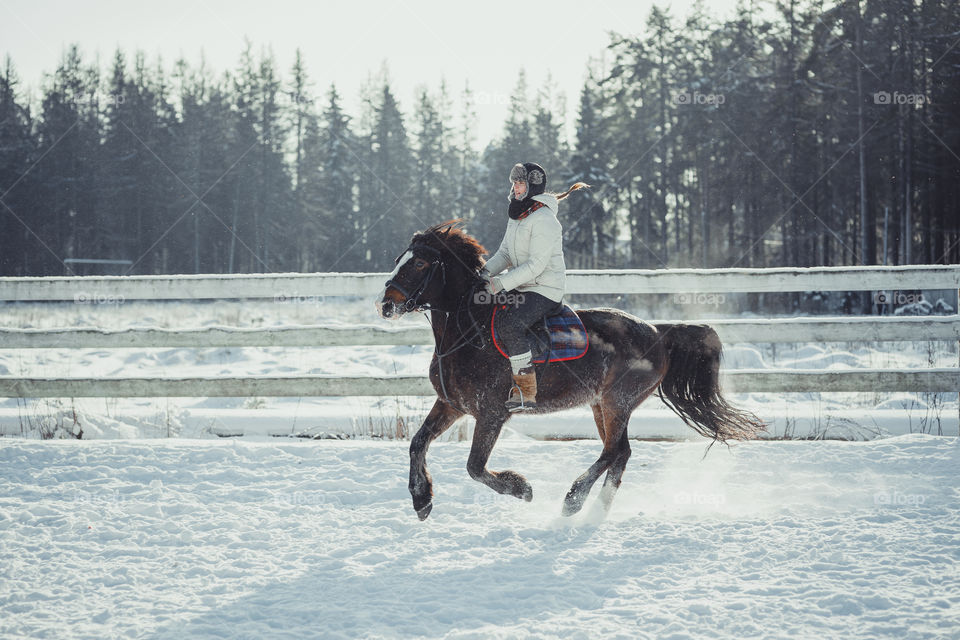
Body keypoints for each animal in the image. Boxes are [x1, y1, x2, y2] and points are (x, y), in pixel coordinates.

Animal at [376, 220, 764, 520]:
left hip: (618, 401)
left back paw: (573, 501)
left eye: (420, 263)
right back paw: (595, 511)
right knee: (621, 453)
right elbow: (417, 443)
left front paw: (522, 488)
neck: (470, 331)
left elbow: (474, 466)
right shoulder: (451, 405)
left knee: (613, 452)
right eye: (398, 260)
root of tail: (658, 332)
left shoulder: (492, 413)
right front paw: (421, 500)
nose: (385, 304)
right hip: (601, 404)